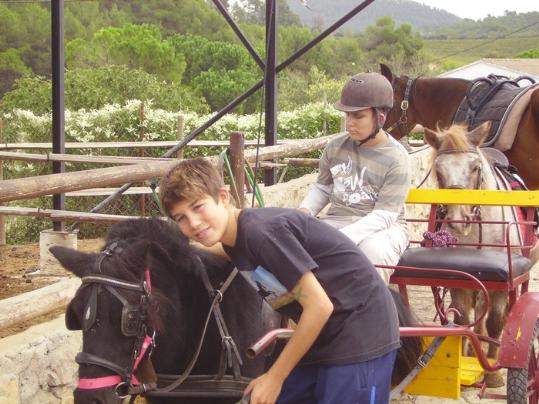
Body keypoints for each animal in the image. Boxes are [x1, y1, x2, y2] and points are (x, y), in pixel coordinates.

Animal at [424, 121, 536, 386]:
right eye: (438, 171)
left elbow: (496, 322)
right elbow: (463, 320)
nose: (457, 220)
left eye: (475, 168)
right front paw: (464, 356)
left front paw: (493, 371)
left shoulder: (501, 285)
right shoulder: (460, 281)